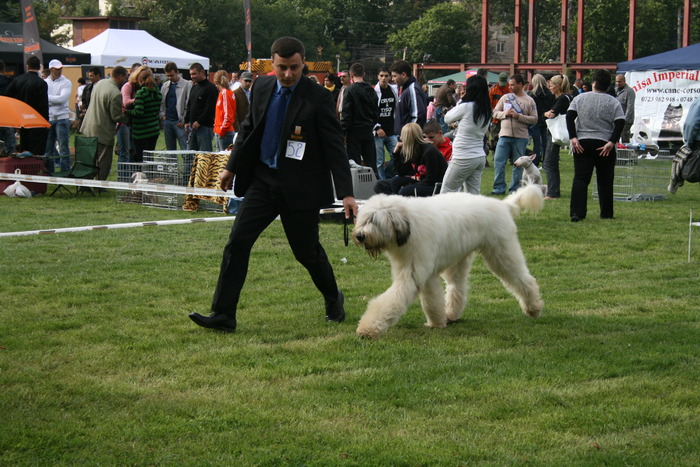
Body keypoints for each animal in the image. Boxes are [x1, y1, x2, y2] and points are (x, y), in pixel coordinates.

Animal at [352, 184, 544, 340]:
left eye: (374, 220)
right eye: (363, 219)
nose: (360, 236)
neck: (410, 226)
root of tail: (502, 205)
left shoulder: (412, 274)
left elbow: (392, 299)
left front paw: (368, 328)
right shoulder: (425, 273)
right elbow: (432, 300)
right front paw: (436, 322)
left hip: (502, 253)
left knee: (523, 279)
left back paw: (533, 308)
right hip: (458, 259)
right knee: (457, 287)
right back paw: (451, 314)